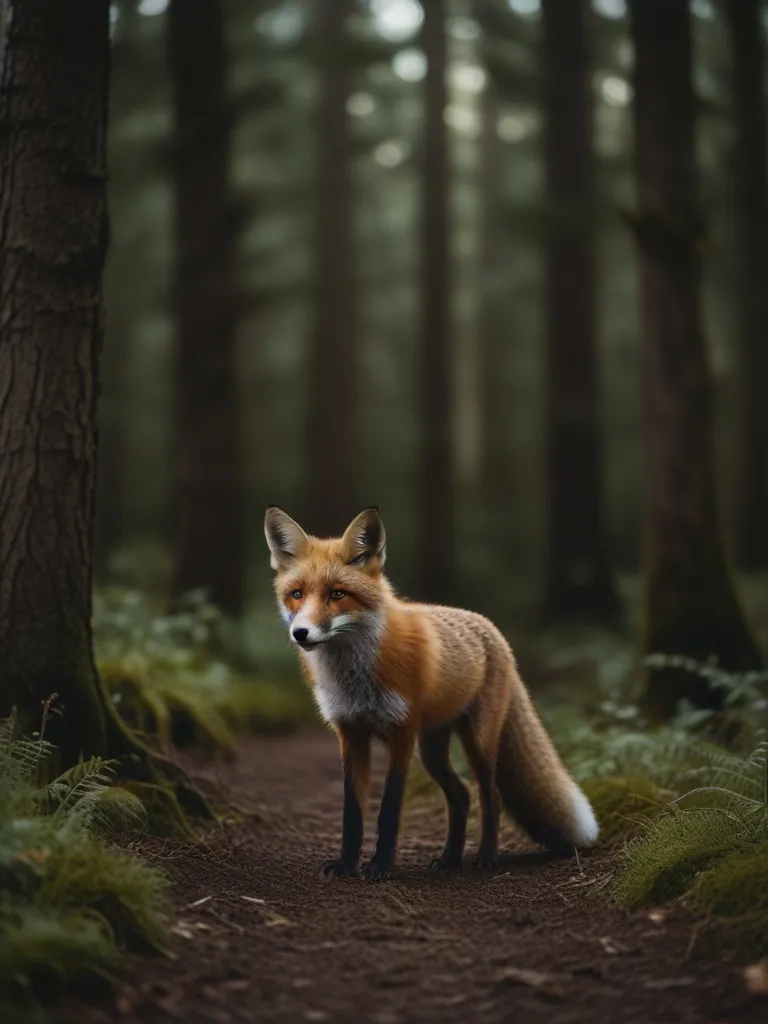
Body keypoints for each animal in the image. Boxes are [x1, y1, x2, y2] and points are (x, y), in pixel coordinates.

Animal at [266, 507, 602, 876]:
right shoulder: (351, 734)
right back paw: (449, 859)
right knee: (461, 796)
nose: (300, 633)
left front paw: (380, 866)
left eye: (337, 594)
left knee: (491, 797)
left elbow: (389, 808)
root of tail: (493, 629)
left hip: (477, 742)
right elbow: (351, 812)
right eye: (297, 594)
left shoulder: (402, 732)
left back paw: (486, 856)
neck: (355, 678)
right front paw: (346, 865)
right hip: (432, 750)